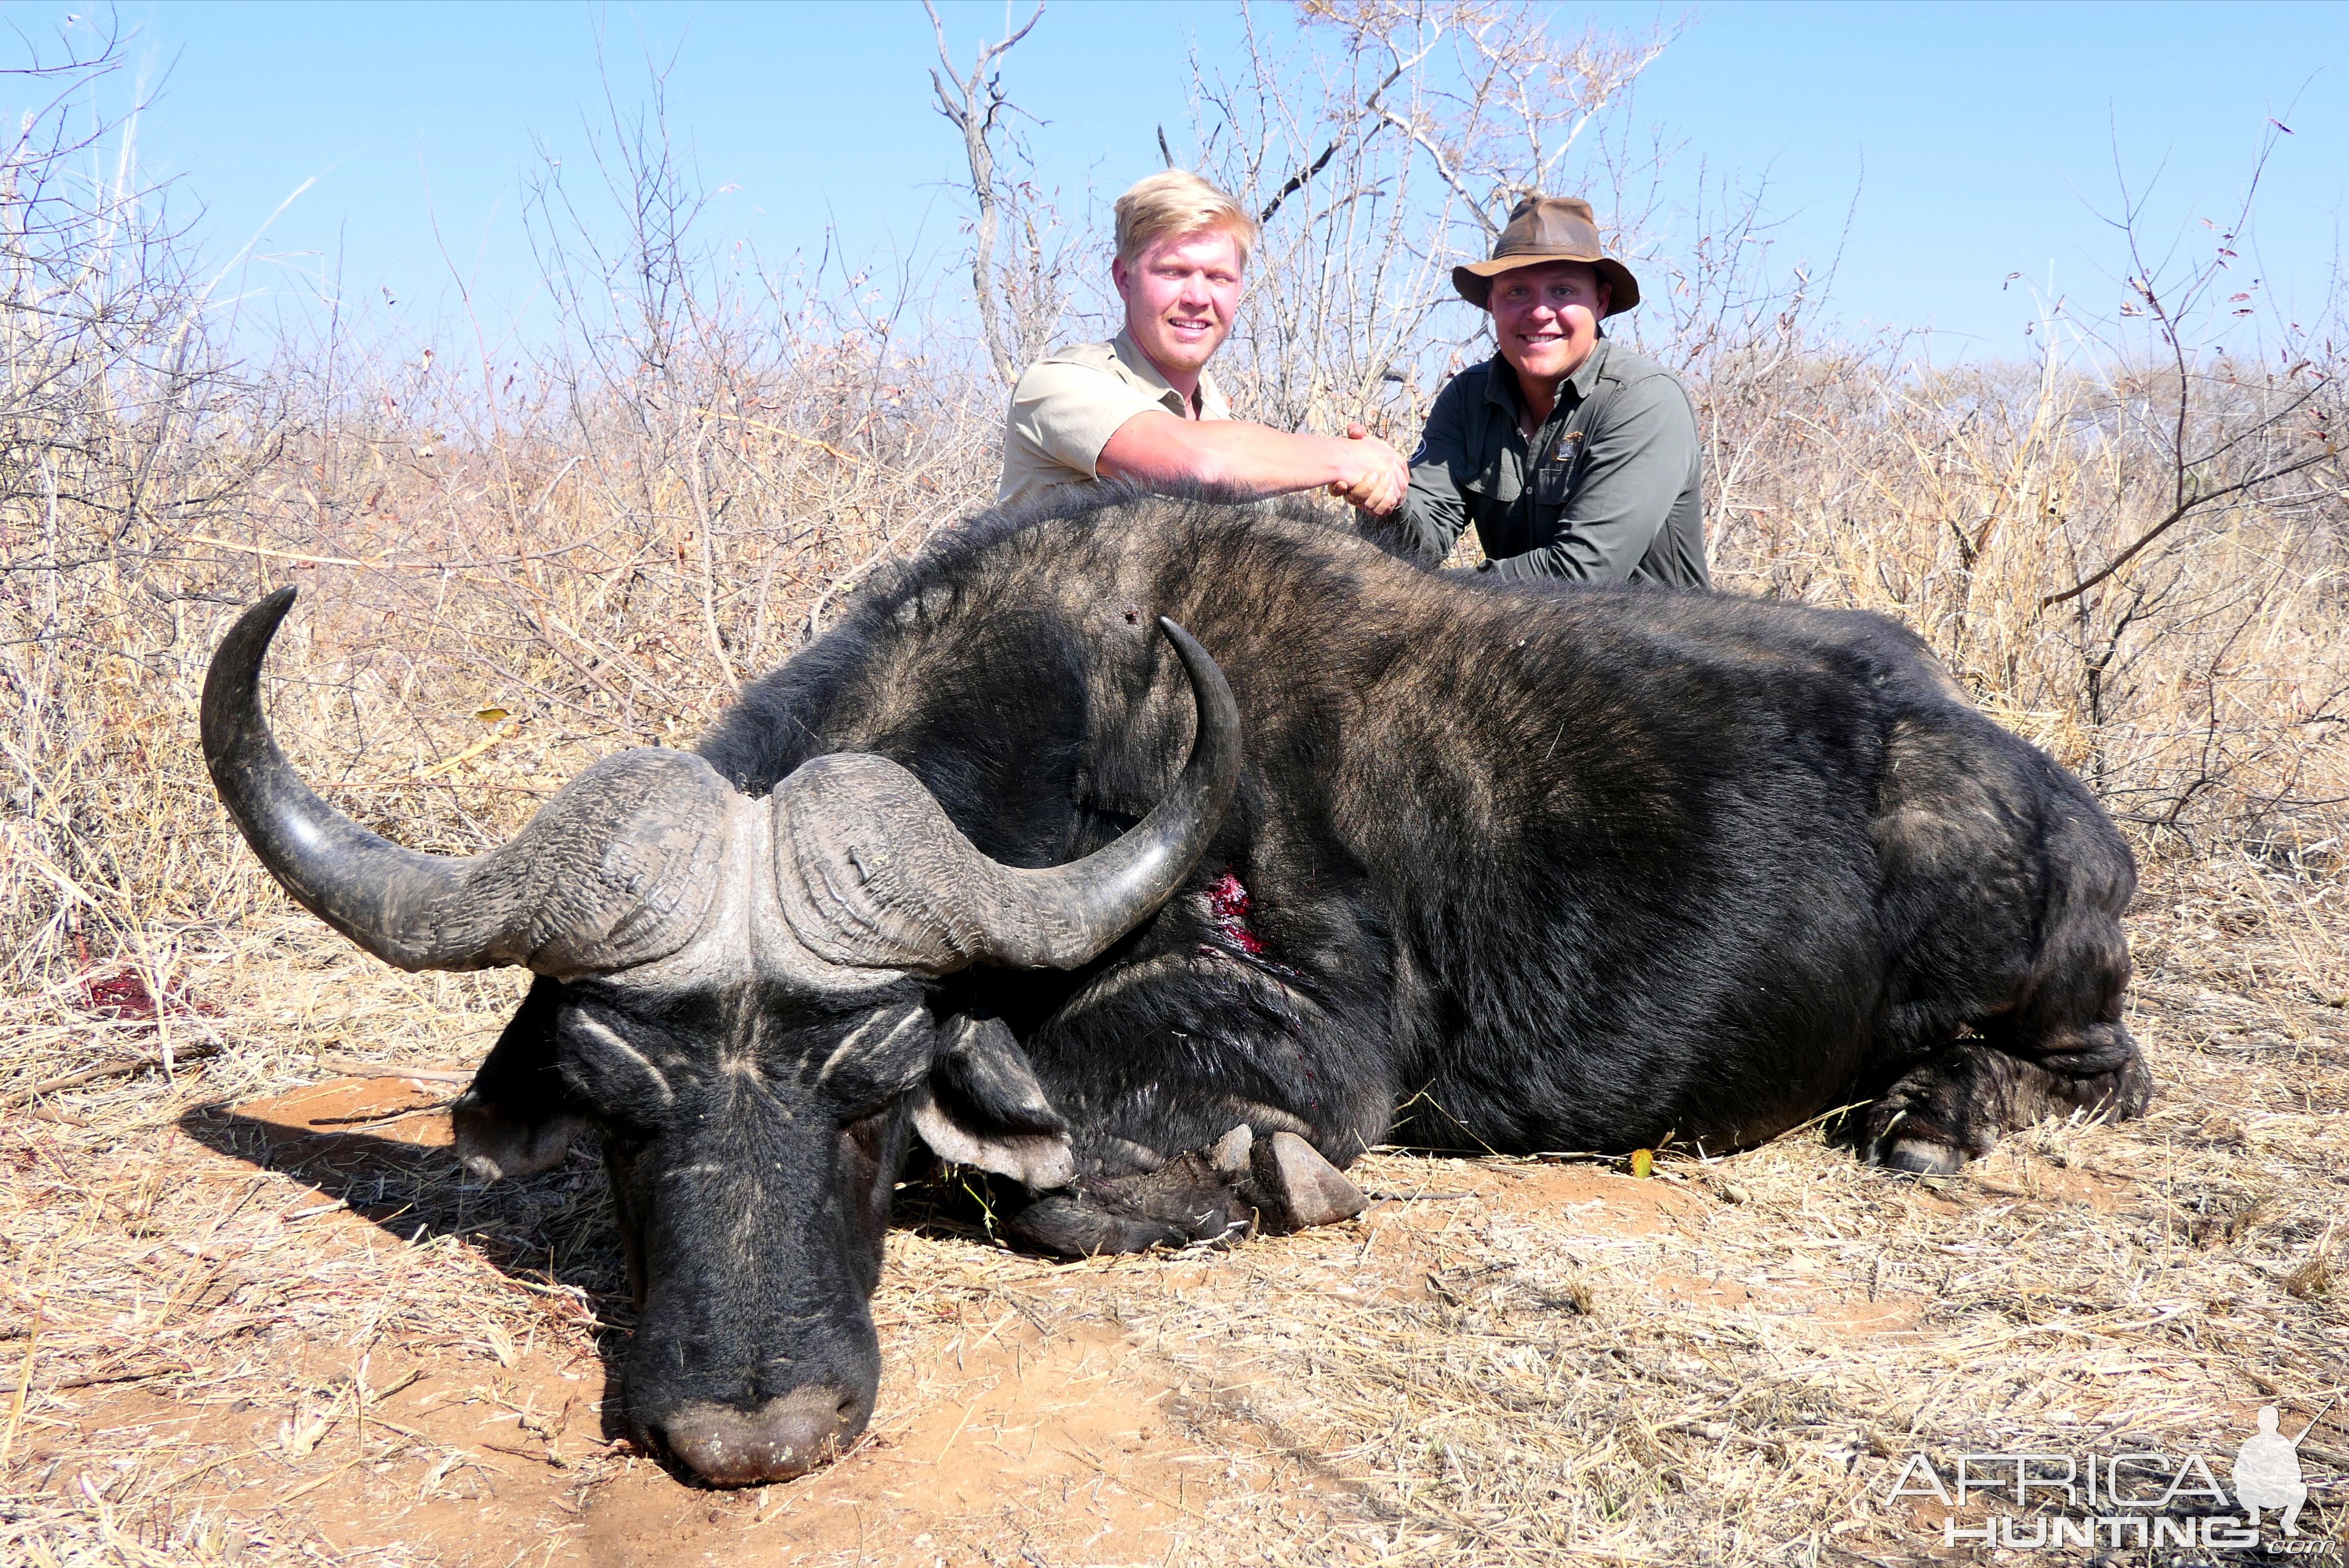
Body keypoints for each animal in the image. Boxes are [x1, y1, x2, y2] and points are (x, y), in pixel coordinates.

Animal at [202, 490, 2151, 1483]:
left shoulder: (1315, 1051)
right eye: (618, 1103)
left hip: (2045, 980)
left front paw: (1250, 1187)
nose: (753, 1430)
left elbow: (1090, 1188)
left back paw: (1932, 1117)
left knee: (2098, 1069)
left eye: (873, 1083)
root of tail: (2043, 791)